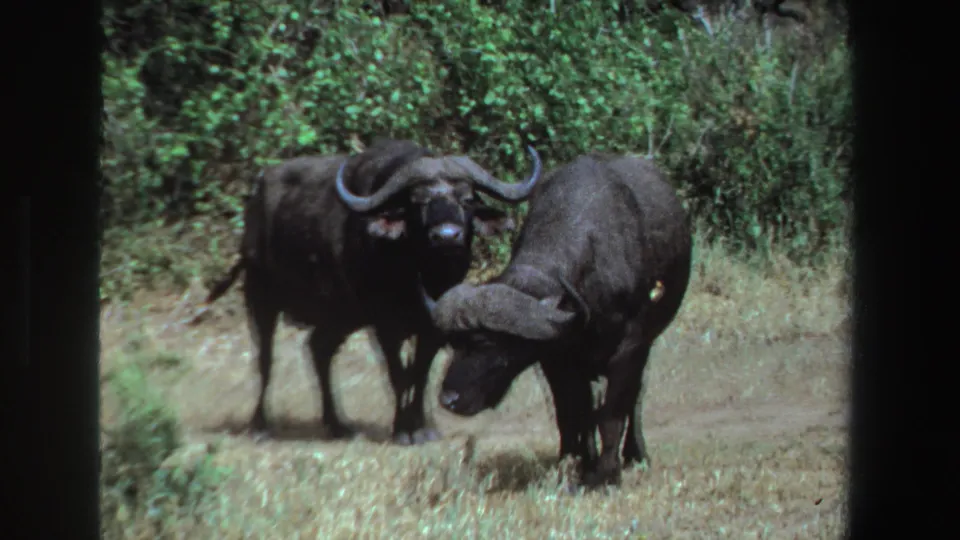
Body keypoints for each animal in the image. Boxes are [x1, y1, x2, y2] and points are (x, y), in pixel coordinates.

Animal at [205, 138, 543, 445]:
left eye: (468, 199)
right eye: (417, 201)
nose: (447, 236)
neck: (420, 273)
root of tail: (256, 196)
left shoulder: (433, 327)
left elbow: (420, 374)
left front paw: (423, 428)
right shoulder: (384, 325)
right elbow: (398, 375)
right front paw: (403, 430)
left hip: (340, 315)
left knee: (319, 349)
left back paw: (337, 425)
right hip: (260, 295)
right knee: (265, 359)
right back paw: (260, 426)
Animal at [421, 153, 692, 487]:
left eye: (486, 345)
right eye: (453, 344)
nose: (449, 399)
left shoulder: (630, 349)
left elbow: (613, 412)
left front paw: (606, 474)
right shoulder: (555, 358)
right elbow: (572, 412)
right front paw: (578, 464)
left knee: (635, 397)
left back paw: (635, 454)